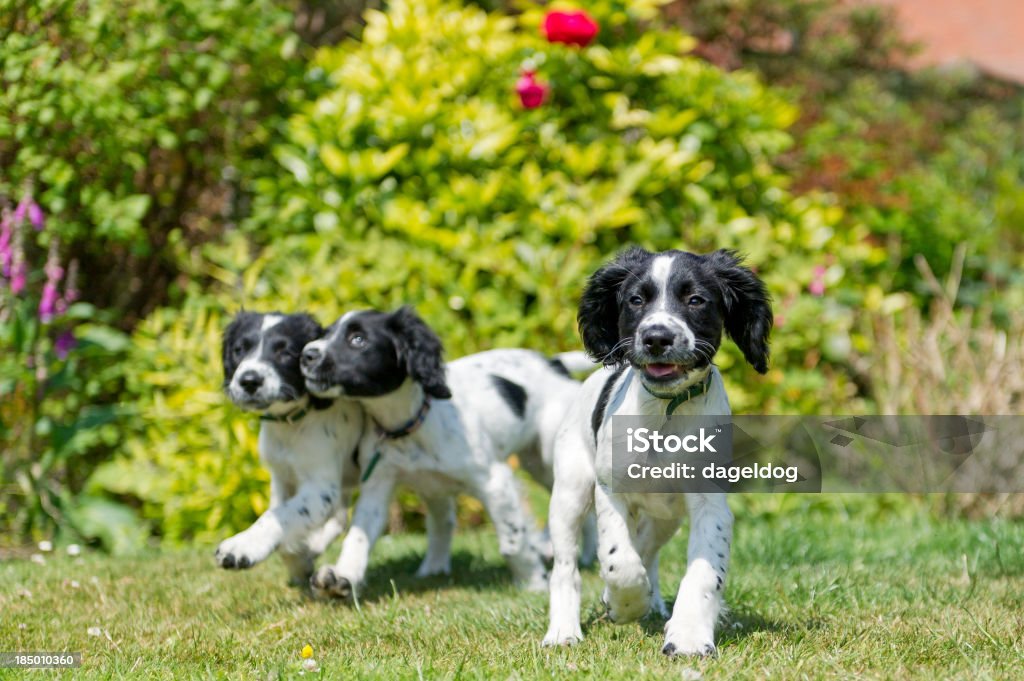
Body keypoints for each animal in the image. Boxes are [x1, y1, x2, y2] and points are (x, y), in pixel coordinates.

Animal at [214, 313, 366, 585]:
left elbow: (277, 516)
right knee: (339, 519)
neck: (290, 423)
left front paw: (242, 547)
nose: (249, 380)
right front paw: (299, 561)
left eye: (285, 352)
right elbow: (283, 523)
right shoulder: (282, 478)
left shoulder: (320, 488)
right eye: (239, 349)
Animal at [299, 307, 593, 602]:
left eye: (358, 339)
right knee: (443, 521)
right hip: (440, 485)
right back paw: (434, 569)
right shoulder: (378, 485)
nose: (306, 355)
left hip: (548, 458)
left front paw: (533, 582)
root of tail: (554, 363)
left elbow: (512, 539)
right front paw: (343, 577)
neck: (411, 422)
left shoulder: (493, 481)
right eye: (325, 333)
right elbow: (359, 536)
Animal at [544, 246, 770, 655]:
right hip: (569, 493)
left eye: (696, 300)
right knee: (567, 567)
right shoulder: (610, 490)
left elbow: (703, 571)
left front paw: (689, 635)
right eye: (636, 300)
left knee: (648, 549)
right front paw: (624, 603)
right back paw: (563, 631)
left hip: (667, 517)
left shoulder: (710, 503)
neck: (666, 412)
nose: (656, 338)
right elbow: (618, 561)